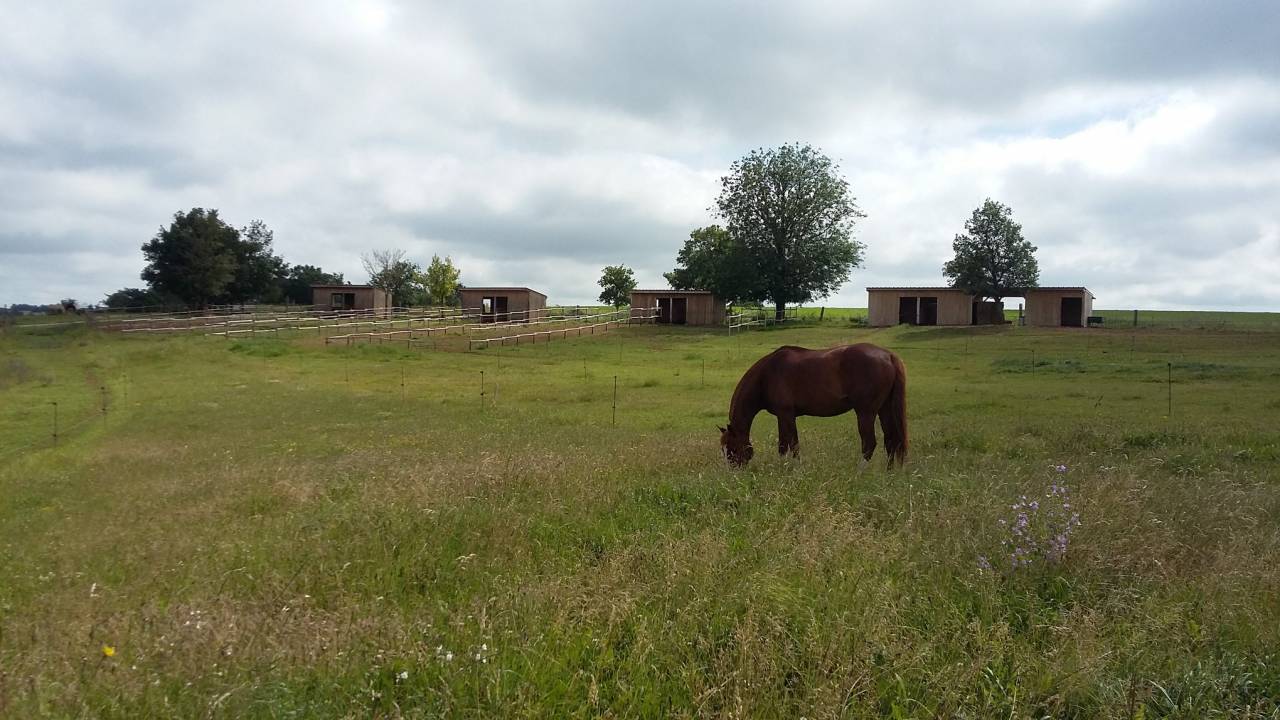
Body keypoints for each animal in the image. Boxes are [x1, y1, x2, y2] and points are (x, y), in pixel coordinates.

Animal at [718, 343, 908, 468]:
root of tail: (888, 356)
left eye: (732, 448)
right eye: (724, 449)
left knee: (869, 444)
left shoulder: (786, 414)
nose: (733, 473)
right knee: (891, 440)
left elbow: (790, 444)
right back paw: (889, 472)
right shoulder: (784, 416)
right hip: (884, 409)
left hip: (866, 412)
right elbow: (786, 444)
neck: (766, 375)